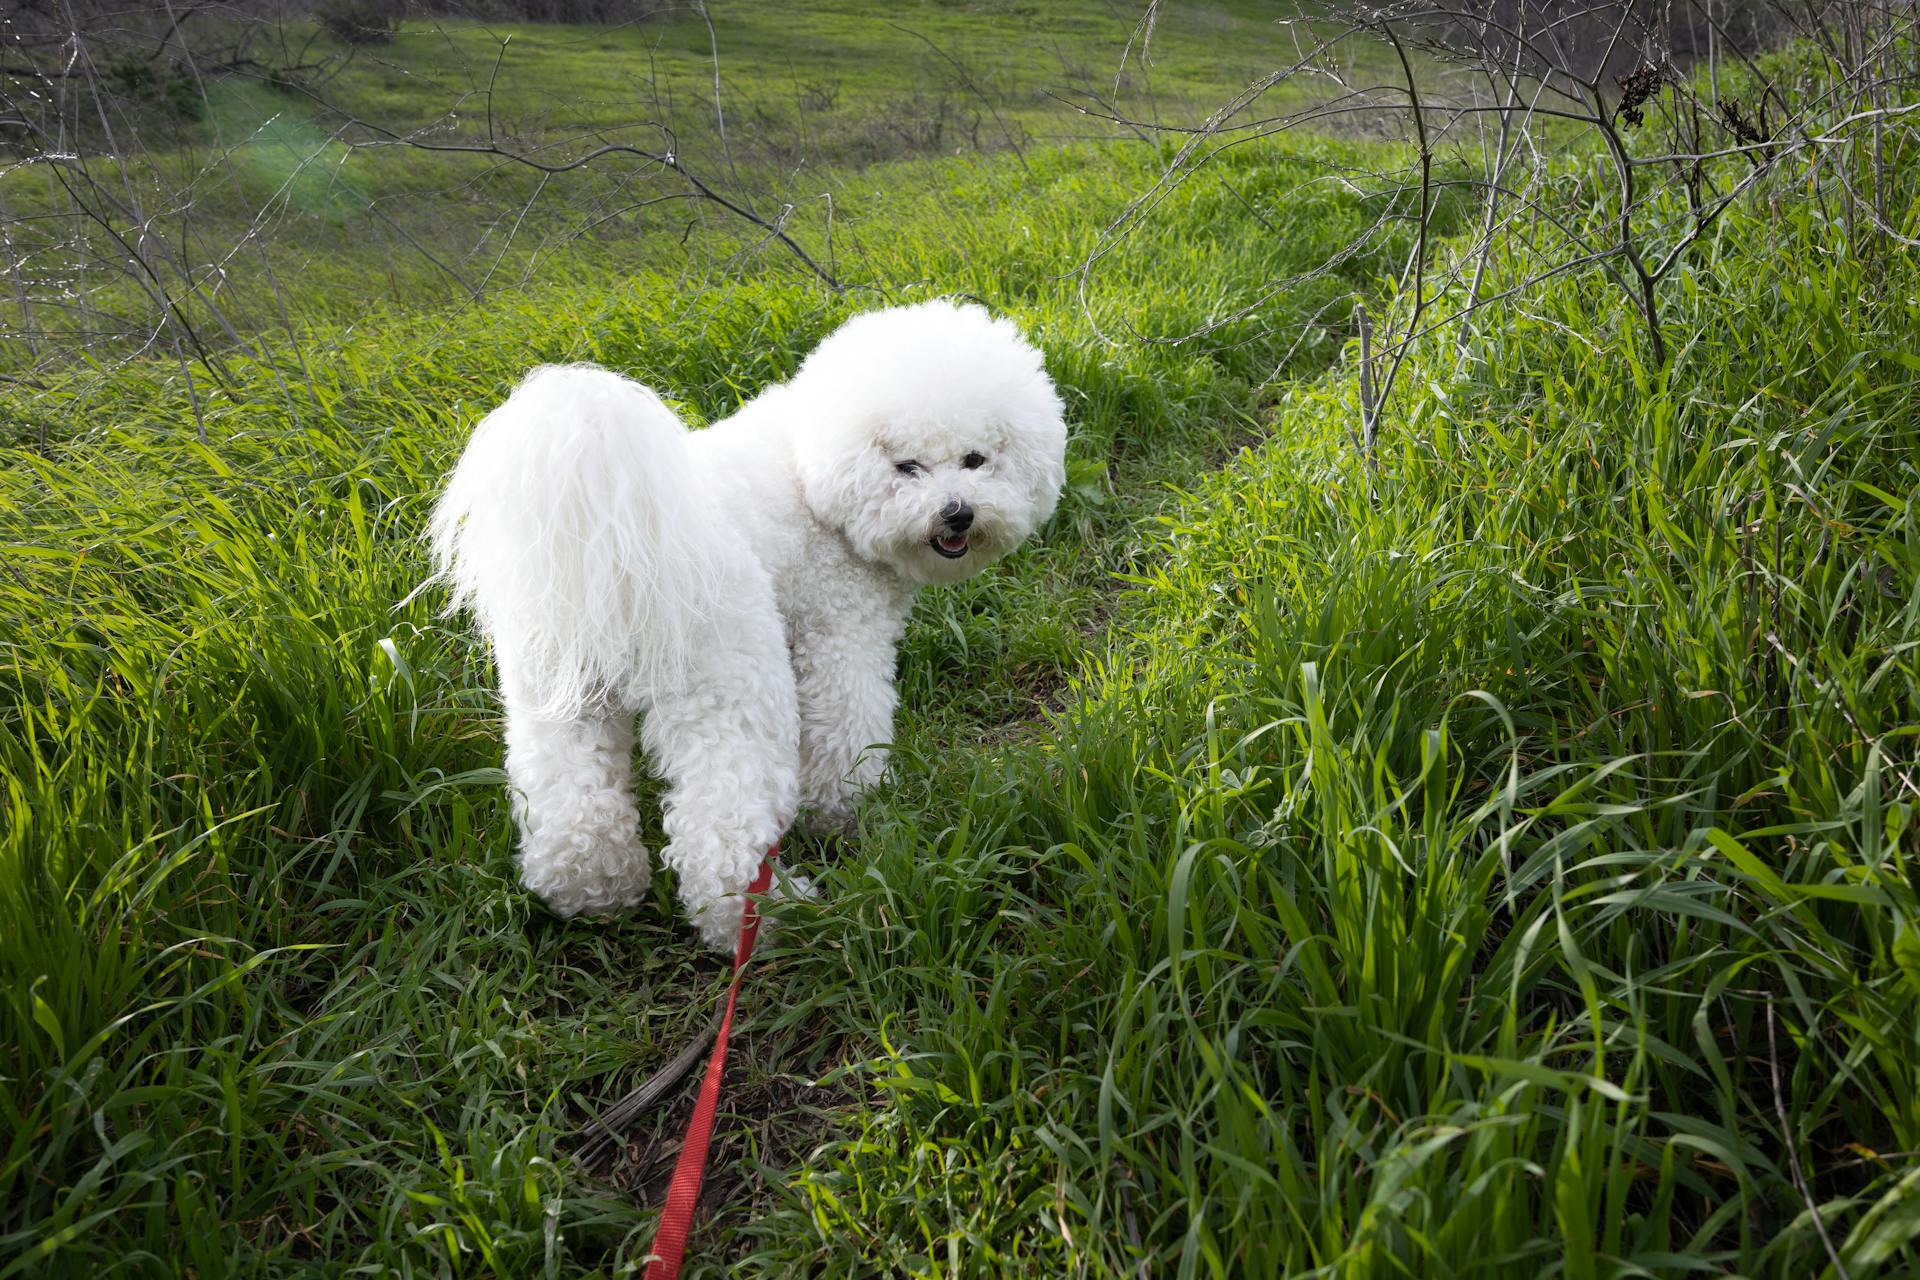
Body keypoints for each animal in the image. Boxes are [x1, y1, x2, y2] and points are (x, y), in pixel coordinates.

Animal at [426, 303, 1075, 951]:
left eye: (976, 460)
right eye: (906, 467)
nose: (957, 513)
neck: (813, 475)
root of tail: (616, 549)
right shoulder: (842, 634)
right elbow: (846, 738)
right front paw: (851, 816)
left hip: (561, 695)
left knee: (573, 811)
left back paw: (597, 896)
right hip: (730, 683)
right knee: (720, 836)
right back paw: (773, 920)